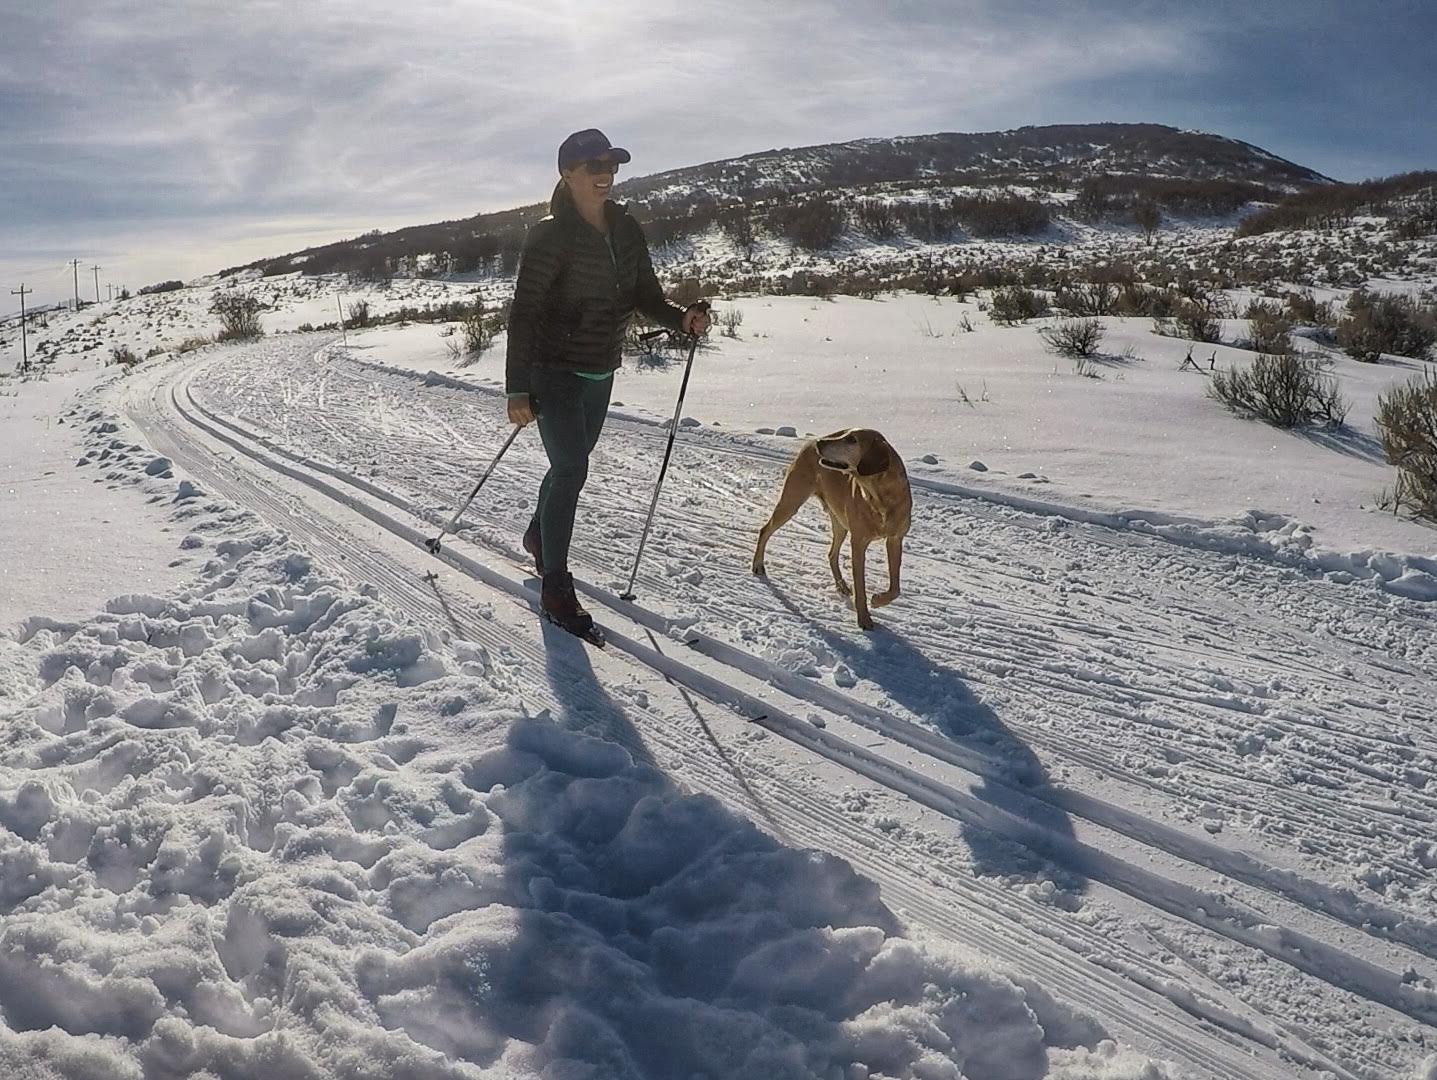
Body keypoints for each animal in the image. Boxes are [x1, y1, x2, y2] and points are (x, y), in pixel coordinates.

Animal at [752, 425, 908, 629]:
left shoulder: (895, 539)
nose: (820, 442)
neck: (879, 497)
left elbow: (895, 587)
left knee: (832, 554)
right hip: (791, 502)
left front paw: (878, 600)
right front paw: (864, 618)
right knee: (765, 530)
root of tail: (807, 444)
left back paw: (841, 585)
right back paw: (758, 565)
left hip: (840, 523)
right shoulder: (859, 542)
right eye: (845, 435)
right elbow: (861, 587)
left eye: (852, 440)